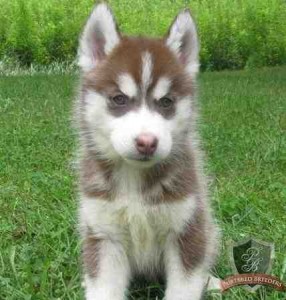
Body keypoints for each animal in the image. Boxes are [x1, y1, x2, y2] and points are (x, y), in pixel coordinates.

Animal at [75, 2, 219, 300]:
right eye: (119, 99)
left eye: (166, 102)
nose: (146, 142)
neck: (134, 178)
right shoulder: (104, 235)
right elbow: (103, 288)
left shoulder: (187, 230)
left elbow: (184, 287)